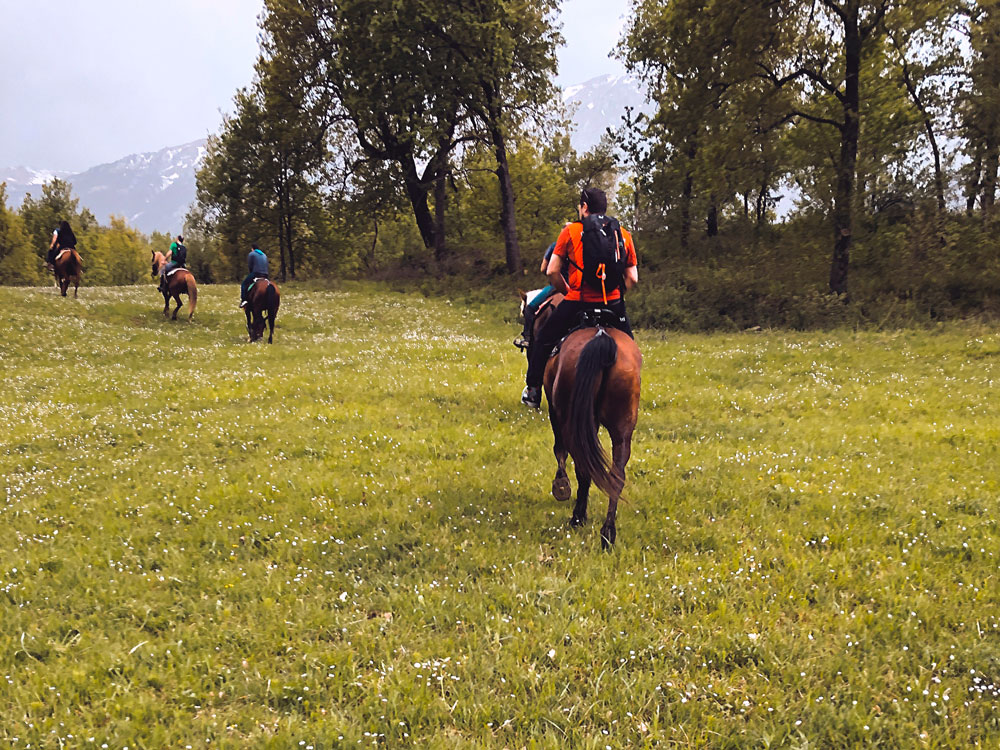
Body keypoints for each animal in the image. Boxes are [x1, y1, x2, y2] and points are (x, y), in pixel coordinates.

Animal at [548, 324, 640, 552]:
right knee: (617, 475)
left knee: (583, 468)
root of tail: (602, 335)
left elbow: (559, 450)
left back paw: (578, 517)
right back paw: (608, 533)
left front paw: (561, 485)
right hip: (622, 429)